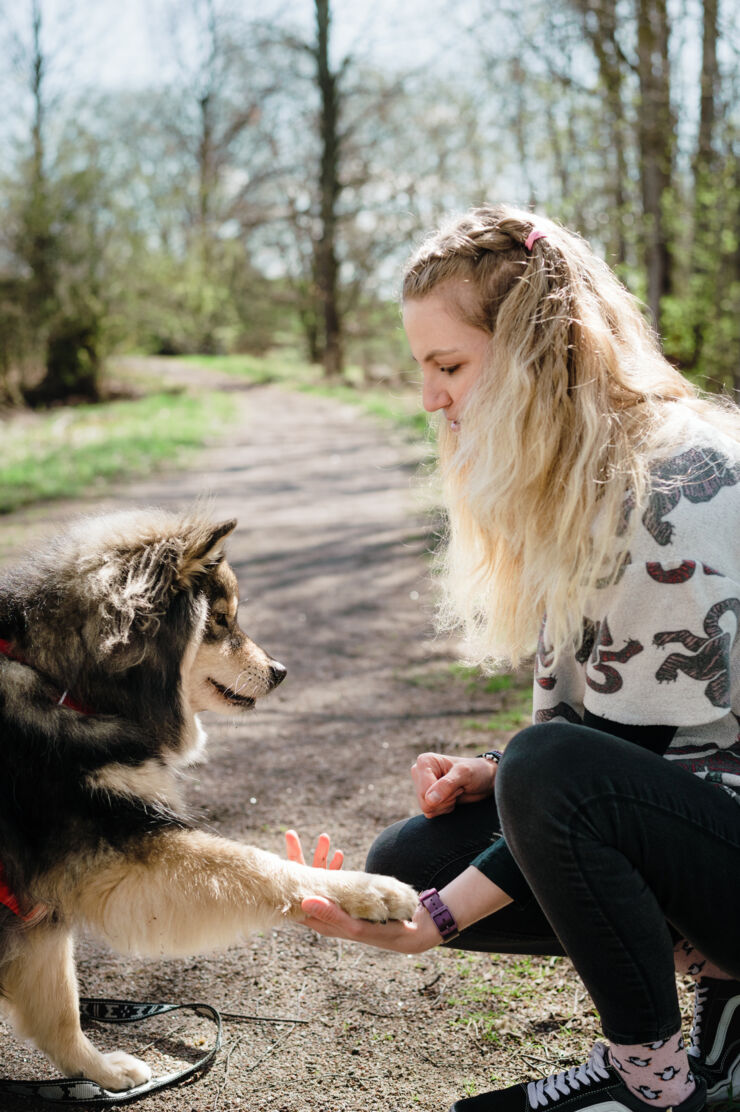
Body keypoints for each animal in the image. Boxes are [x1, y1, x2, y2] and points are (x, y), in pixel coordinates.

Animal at [0, 509, 416, 1089]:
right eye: (219, 620)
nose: (281, 671)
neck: (65, 683)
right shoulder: (120, 853)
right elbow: (256, 865)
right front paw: (366, 889)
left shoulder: (40, 902)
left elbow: (58, 1009)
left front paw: (99, 1072)